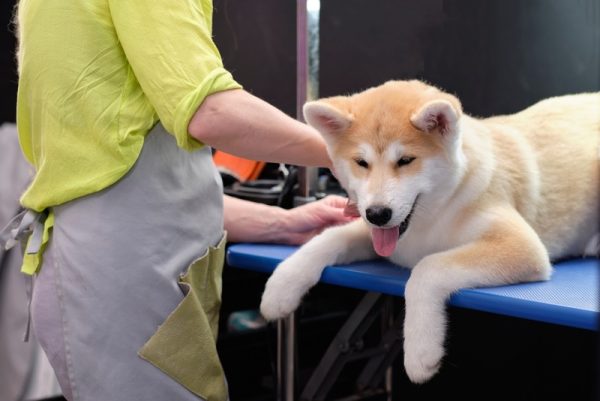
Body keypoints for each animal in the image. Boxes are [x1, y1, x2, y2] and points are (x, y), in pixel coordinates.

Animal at [260, 79, 596, 382]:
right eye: (361, 163)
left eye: (406, 160)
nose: (378, 214)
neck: (432, 217)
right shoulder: (379, 234)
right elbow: (329, 237)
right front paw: (282, 285)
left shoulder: (521, 246)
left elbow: (428, 268)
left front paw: (421, 350)